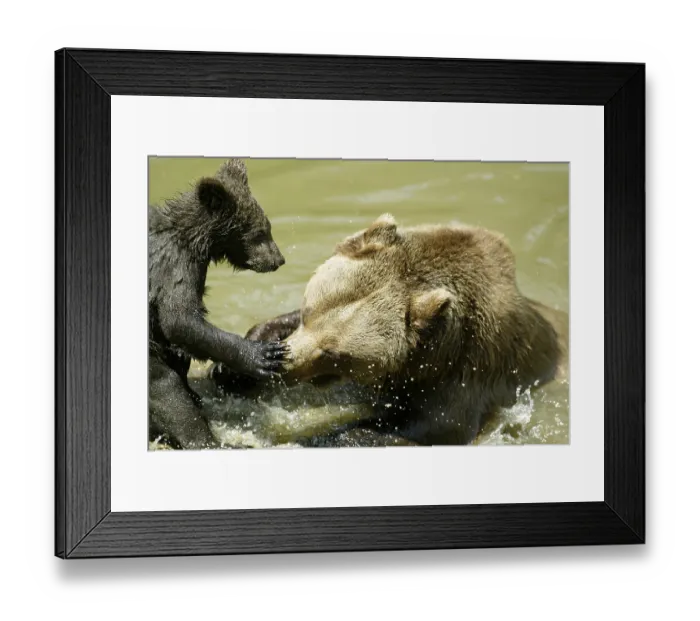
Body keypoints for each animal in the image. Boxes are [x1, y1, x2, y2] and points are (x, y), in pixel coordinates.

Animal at [148, 158, 289, 450]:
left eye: (267, 227)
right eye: (260, 233)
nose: (279, 260)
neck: (197, 240)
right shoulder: (175, 265)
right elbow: (180, 320)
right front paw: (263, 355)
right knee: (166, 389)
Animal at [224, 213, 568, 446]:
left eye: (332, 352)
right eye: (308, 311)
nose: (286, 364)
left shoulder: (466, 374)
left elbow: (430, 427)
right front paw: (236, 367)